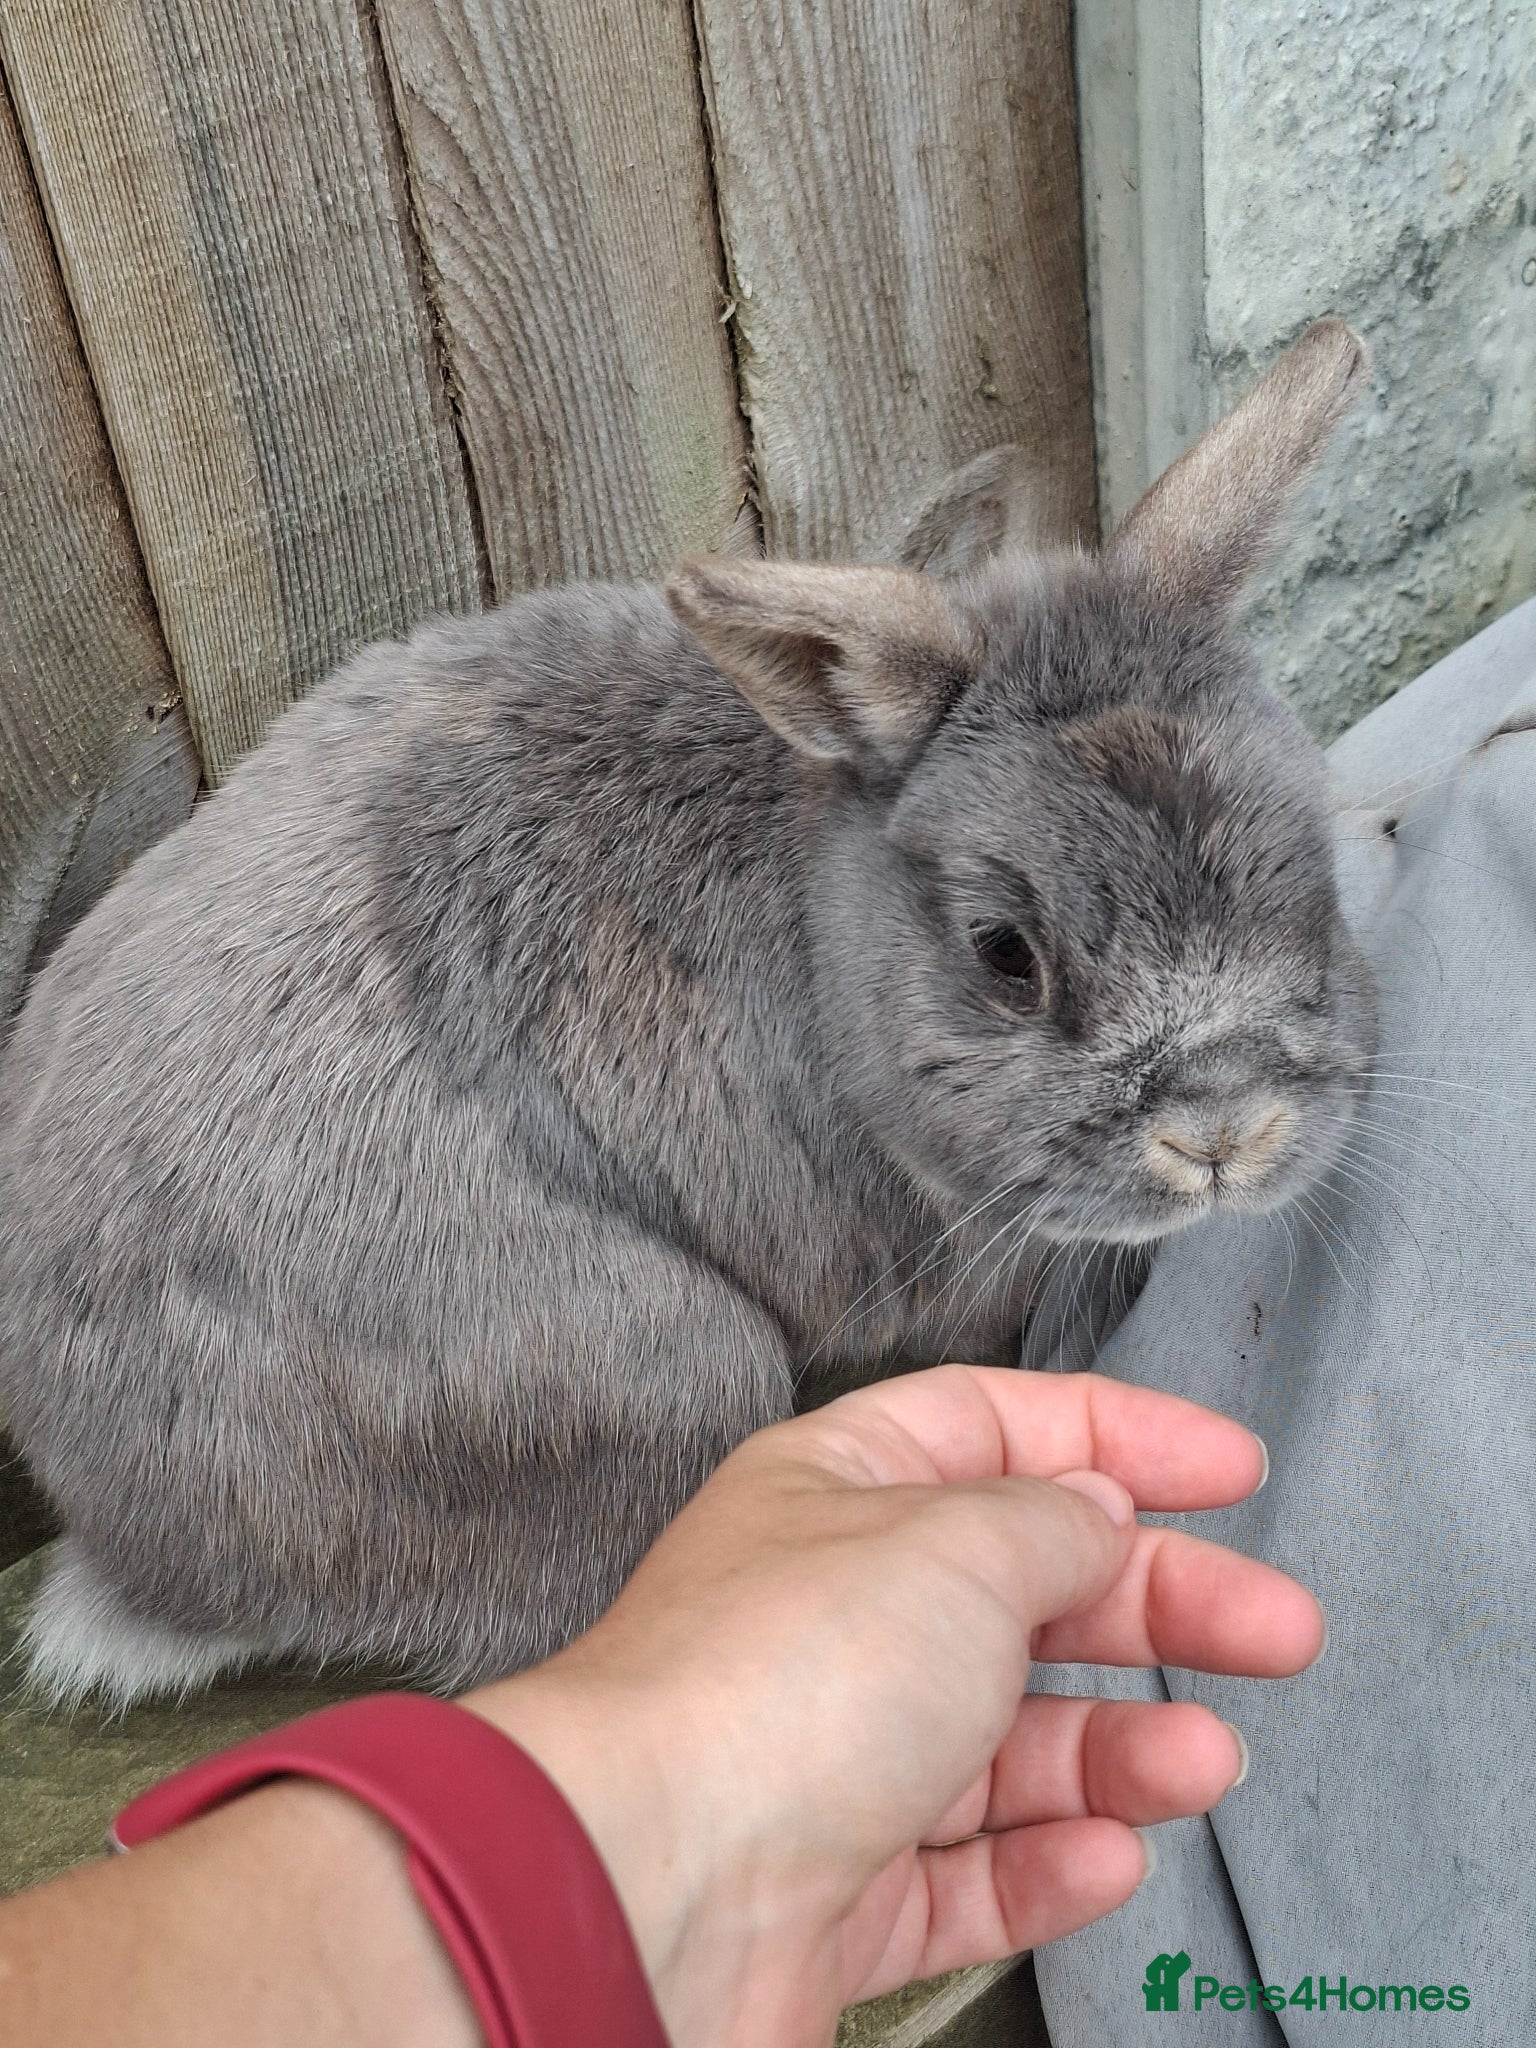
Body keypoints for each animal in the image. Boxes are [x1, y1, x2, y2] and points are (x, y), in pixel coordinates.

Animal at [0, 319, 1377, 1705]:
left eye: (1308, 860)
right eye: (1006, 953)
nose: (1225, 1129)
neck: (828, 926)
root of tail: (126, 1548)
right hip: (669, 1372)